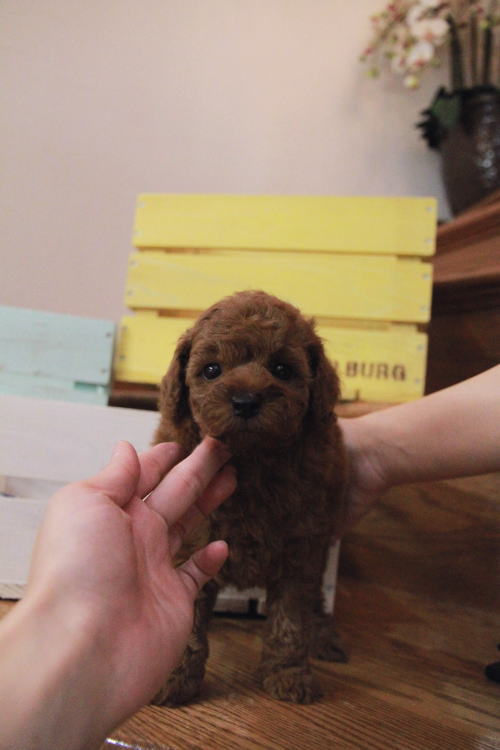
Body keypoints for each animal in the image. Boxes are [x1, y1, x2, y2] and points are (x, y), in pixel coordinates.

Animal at [153, 290, 347, 704]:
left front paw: (288, 676)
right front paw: (173, 677)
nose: (245, 400)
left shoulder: (301, 547)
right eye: (211, 370)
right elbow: (187, 619)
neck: (252, 461)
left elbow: (291, 618)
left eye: (282, 369)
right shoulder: (192, 544)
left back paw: (324, 636)